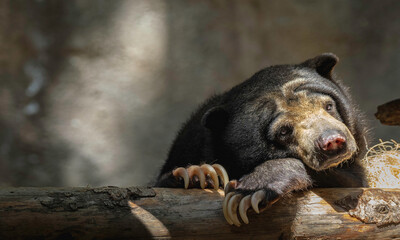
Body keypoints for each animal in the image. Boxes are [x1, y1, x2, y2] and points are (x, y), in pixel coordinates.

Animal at [155, 53, 370, 226]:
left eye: (328, 106)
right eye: (283, 131)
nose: (332, 141)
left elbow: (351, 181)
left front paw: (248, 193)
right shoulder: (189, 142)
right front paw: (197, 173)